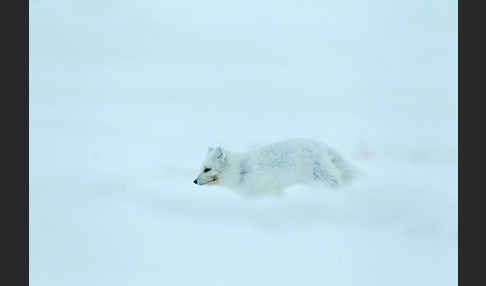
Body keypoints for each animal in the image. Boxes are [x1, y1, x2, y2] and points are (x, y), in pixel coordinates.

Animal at [194, 139, 356, 197]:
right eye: (201, 168)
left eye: (207, 169)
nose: (194, 181)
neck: (240, 170)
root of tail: (319, 144)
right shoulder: (273, 189)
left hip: (322, 178)